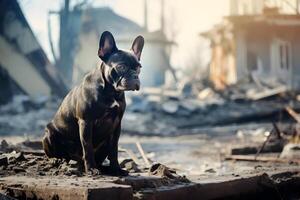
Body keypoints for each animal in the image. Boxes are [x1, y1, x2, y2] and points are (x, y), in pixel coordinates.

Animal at [42, 30, 145, 176]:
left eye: (139, 68)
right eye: (121, 66)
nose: (135, 76)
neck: (110, 92)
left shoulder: (116, 125)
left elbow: (114, 150)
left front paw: (116, 169)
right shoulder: (86, 122)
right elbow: (88, 147)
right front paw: (91, 169)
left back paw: (102, 168)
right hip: (49, 134)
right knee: (56, 155)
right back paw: (59, 161)